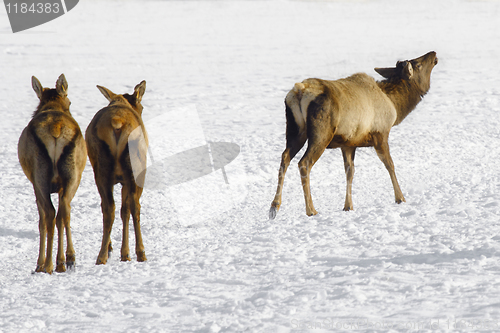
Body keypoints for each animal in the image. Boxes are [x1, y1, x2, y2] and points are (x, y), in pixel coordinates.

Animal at [18, 73, 87, 272]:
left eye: (70, 102)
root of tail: (55, 128)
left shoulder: (35, 185)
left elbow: (41, 221)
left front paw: (39, 263)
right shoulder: (63, 185)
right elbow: (61, 219)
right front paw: (61, 260)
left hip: (40, 175)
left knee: (49, 214)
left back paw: (47, 265)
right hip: (73, 175)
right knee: (64, 211)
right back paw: (67, 260)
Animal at [85, 80, 148, 264]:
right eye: (142, 107)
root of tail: (117, 122)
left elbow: (121, 210)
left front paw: (120, 252)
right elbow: (125, 210)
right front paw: (125, 253)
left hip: (101, 172)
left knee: (108, 208)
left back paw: (101, 255)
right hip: (135, 169)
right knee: (135, 206)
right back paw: (140, 252)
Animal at [270, 50, 438, 218]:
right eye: (417, 64)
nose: (433, 53)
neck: (395, 105)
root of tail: (299, 90)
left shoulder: (348, 144)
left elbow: (349, 172)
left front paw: (348, 206)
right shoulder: (380, 134)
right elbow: (390, 164)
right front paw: (400, 198)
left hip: (296, 130)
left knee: (285, 157)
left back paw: (274, 206)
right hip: (321, 133)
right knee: (304, 163)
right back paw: (311, 209)